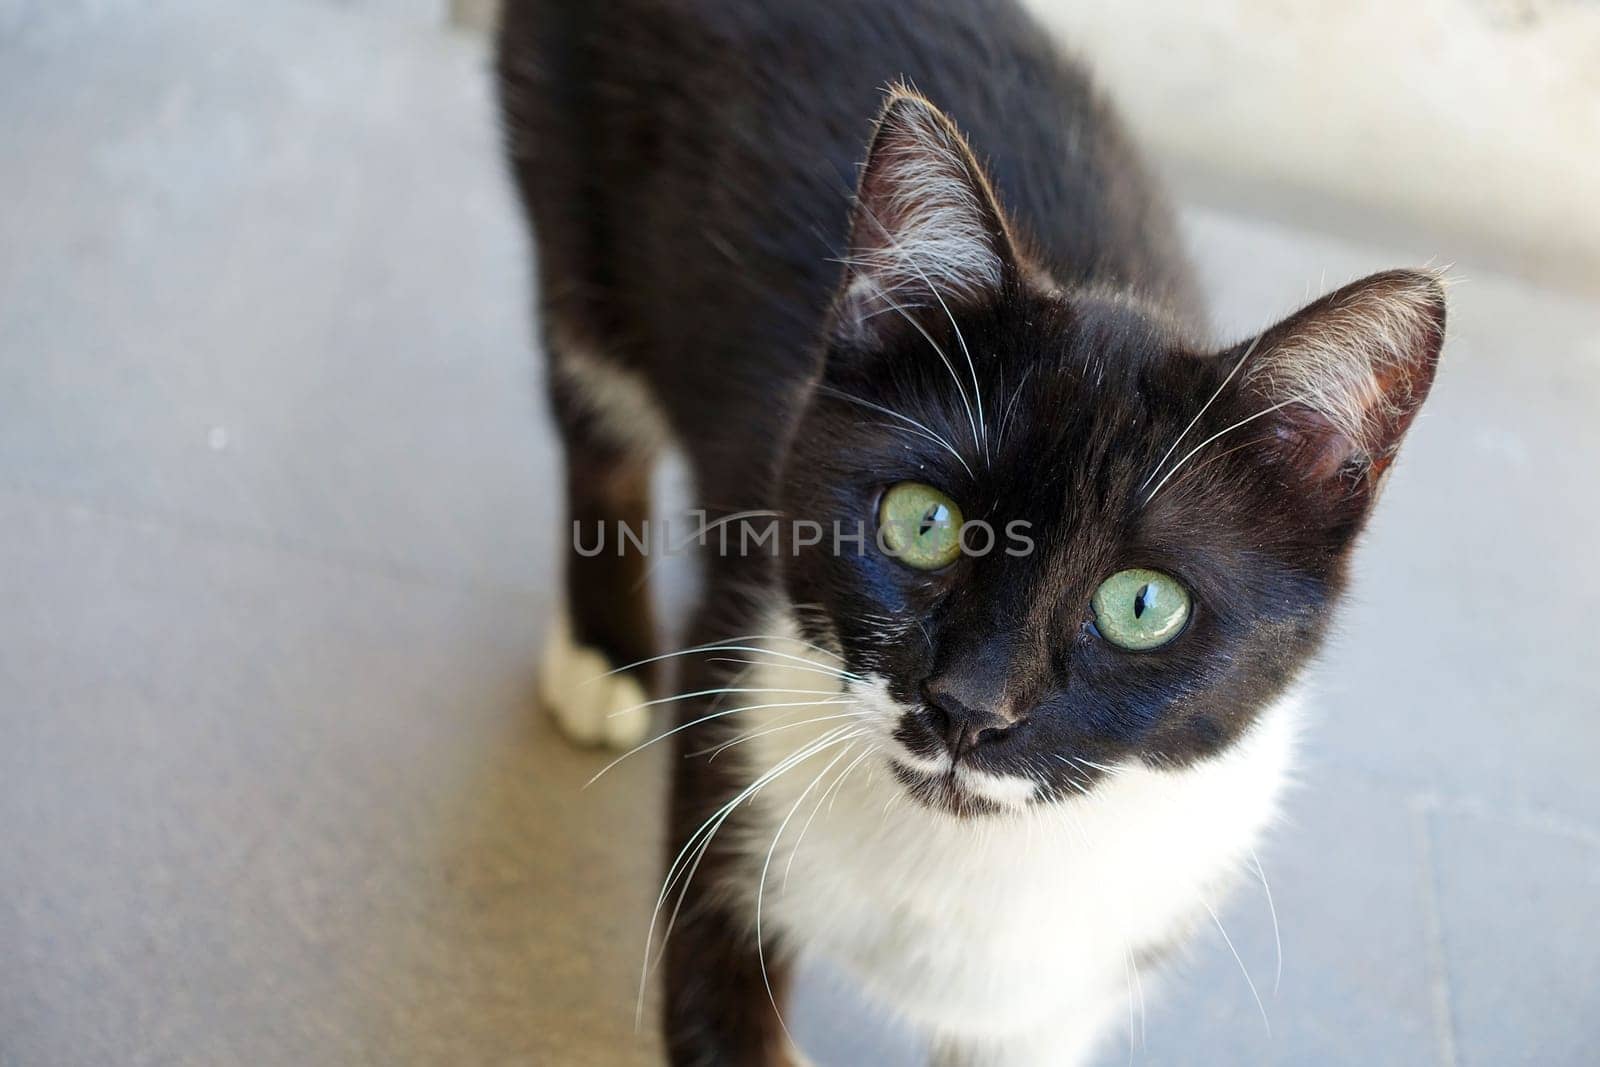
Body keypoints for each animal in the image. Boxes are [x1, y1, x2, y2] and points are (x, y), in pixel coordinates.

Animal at [499, 4, 1452, 1062]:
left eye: (1143, 603)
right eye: (925, 522)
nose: (968, 705)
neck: (963, 857)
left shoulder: (1058, 995)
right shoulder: (732, 773)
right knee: (597, 410)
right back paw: (604, 658)